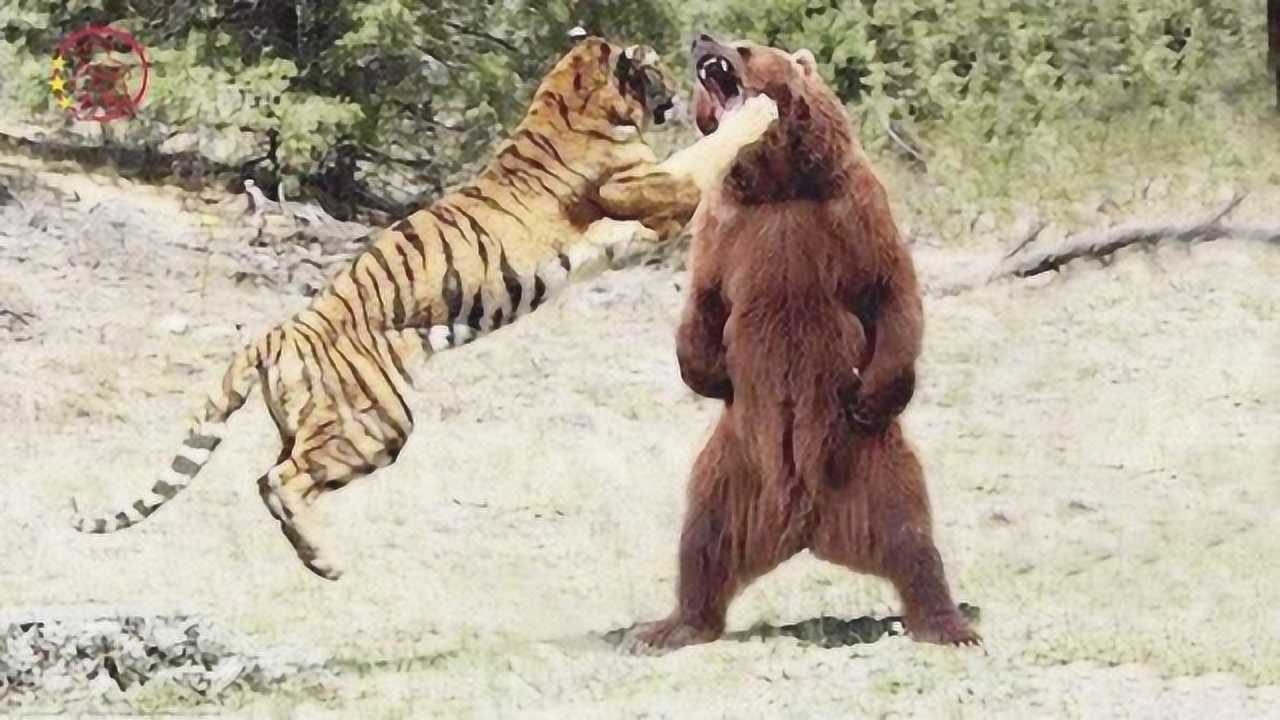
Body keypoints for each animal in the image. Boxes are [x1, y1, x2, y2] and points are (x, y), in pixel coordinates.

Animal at [70, 35, 780, 581]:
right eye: (654, 67)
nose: (673, 92)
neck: (570, 97)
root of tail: (274, 335)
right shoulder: (664, 191)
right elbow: (710, 151)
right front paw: (761, 108)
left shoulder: (640, 229)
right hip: (377, 421)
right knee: (281, 481)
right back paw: (326, 563)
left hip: (316, 423)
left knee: (271, 476)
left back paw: (314, 557)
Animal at [623, 34, 979, 653]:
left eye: (744, 46)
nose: (702, 38)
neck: (781, 183)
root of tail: (804, 526)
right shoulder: (727, 227)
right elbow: (704, 304)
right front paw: (709, 374)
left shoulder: (852, 210)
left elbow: (892, 291)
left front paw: (874, 393)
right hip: (731, 468)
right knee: (702, 539)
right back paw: (671, 626)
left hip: (874, 463)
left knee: (912, 534)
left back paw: (947, 623)